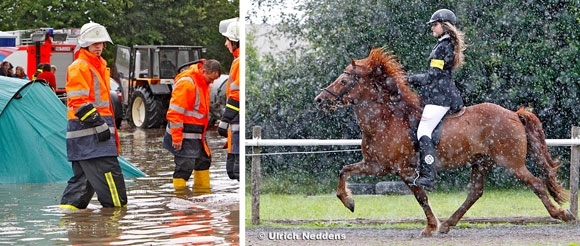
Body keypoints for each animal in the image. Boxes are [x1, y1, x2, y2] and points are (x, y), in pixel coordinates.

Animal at [314, 47, 576, 234]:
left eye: (344, 80)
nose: (319, 100)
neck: (386, 119)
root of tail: (513, 114)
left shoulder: (403, 170)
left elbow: (421, 196)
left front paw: (431, 226)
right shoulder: (376, 165)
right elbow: (344, 170)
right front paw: (348, 201)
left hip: (511, 163)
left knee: (537, 184)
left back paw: (563, 215)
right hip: (482, 162)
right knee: (475, 193)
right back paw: (449, 223)